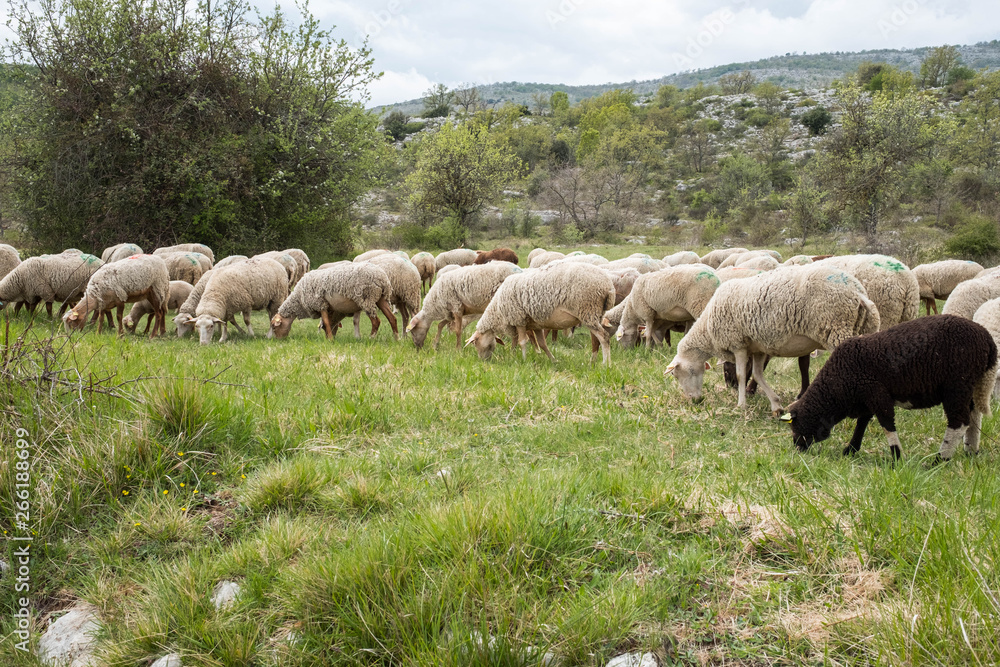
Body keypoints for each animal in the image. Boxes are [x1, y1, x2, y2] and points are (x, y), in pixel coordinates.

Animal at [268, 263, 397, 340]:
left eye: (274, 327)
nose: (277, 340)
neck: (298, 299)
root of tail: (382, 277)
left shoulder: (320, 304)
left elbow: (325, 322)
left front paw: (330, 339)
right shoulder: (330, 308)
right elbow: (329, 323)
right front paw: (330, 338)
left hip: (366, 298)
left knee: (376, 321)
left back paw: (371, 338)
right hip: (380, 298)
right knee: (392, 318)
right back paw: (396, 338)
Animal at [466, 262, 616, 364]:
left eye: (475, 343)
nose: (483, 361)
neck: (497, 310)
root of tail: (608, 286)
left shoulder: (518, 318)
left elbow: (522, 342)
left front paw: (523, 360)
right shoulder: (534, 324)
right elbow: (541, 344)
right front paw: (552, 360)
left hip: (587, 310)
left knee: (604, 337)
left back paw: (606, 364)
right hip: (595, 314)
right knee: (595, 340)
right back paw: (592, 362)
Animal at [665, 264, 881, 415]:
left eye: (677, 375)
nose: (695, 401)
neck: (707, 329)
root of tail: (858, 292)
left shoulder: (738, 344)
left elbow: (742, 375)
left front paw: (741, 405)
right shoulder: (758, 348)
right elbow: (758, 375)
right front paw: (776, 406)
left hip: (836, 329)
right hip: (861, 329)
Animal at [782, 315, 997, 460]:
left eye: (795, 426)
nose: (797, 448)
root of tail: (987, 339)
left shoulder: (877, 394)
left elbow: (886, 424)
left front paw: (897, 458)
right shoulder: (867, 397)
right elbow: (862, 423)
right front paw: (851, 450)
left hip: (956, 384)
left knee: (959, 421)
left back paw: (939, 460)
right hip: (971, 384)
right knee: (974, 417)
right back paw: (971, 451)